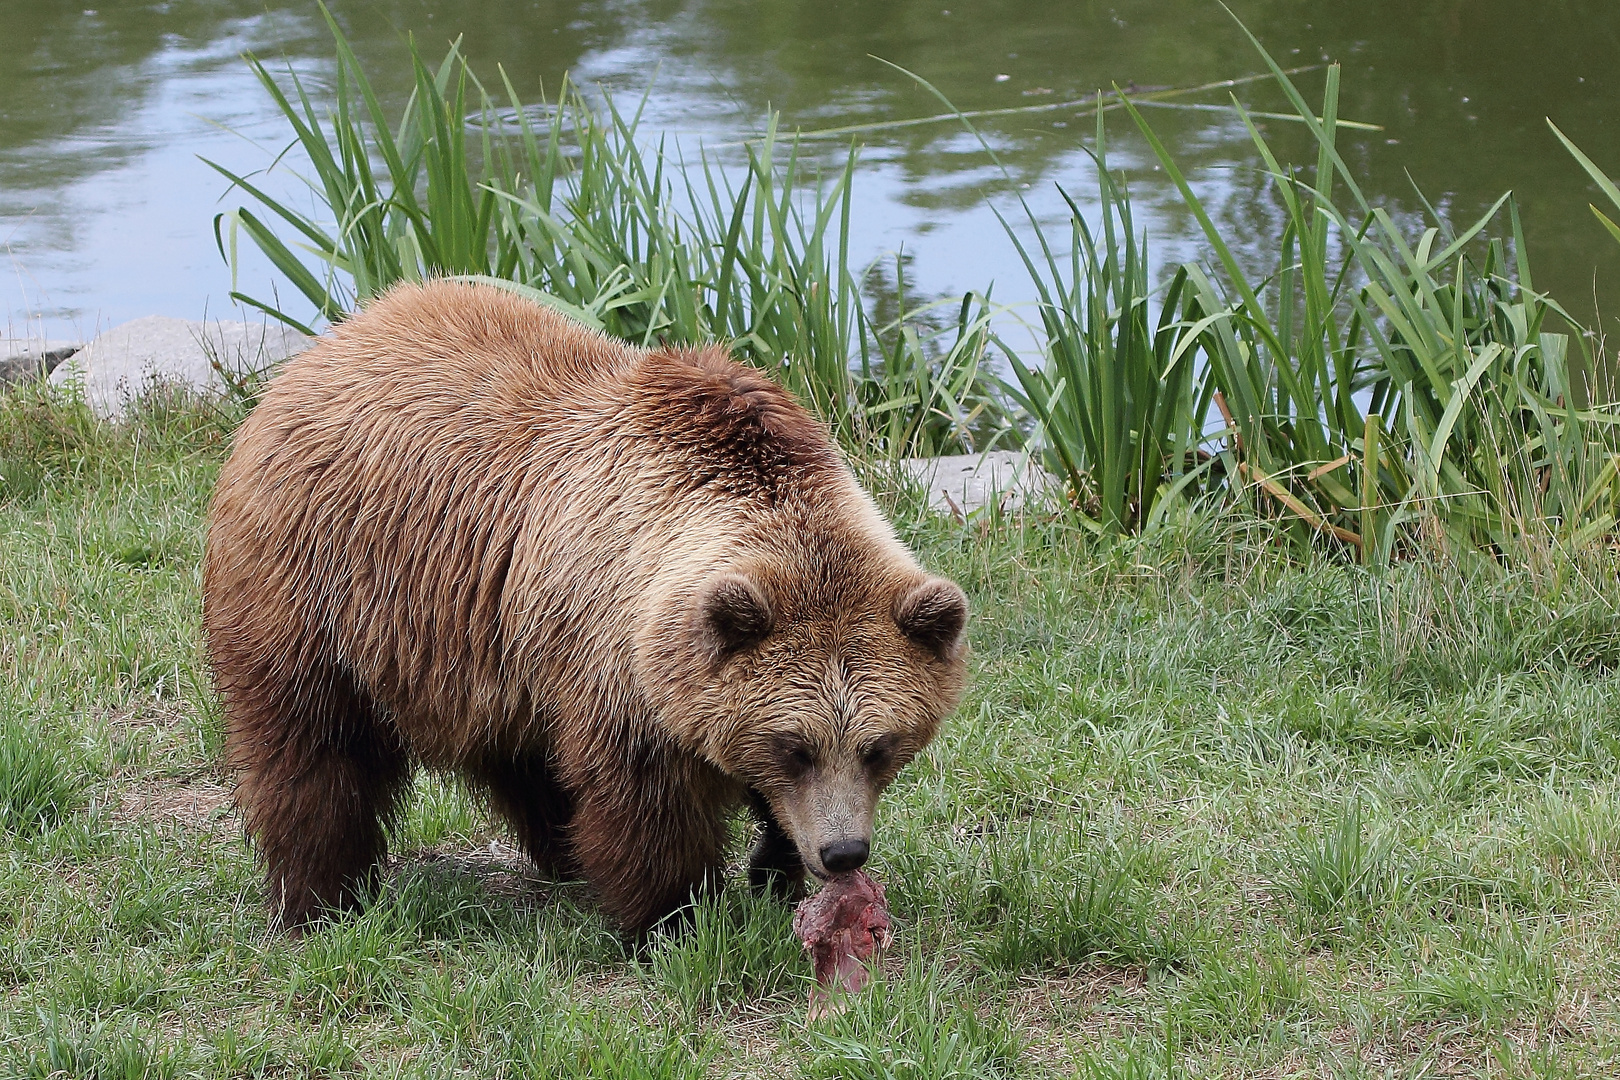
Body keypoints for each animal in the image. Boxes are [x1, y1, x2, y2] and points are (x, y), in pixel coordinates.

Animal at [199, 281, 959, 939]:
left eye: (881, 746)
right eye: (794, 746)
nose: (843, 852)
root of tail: (324, 344)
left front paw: (773, 865)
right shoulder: (613, 647)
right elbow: (644, 803)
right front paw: (675, 917)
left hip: (487, 644)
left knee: (523, 756)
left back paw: (562, 853)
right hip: (322, 584)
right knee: (313, 749)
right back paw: (319, 899)